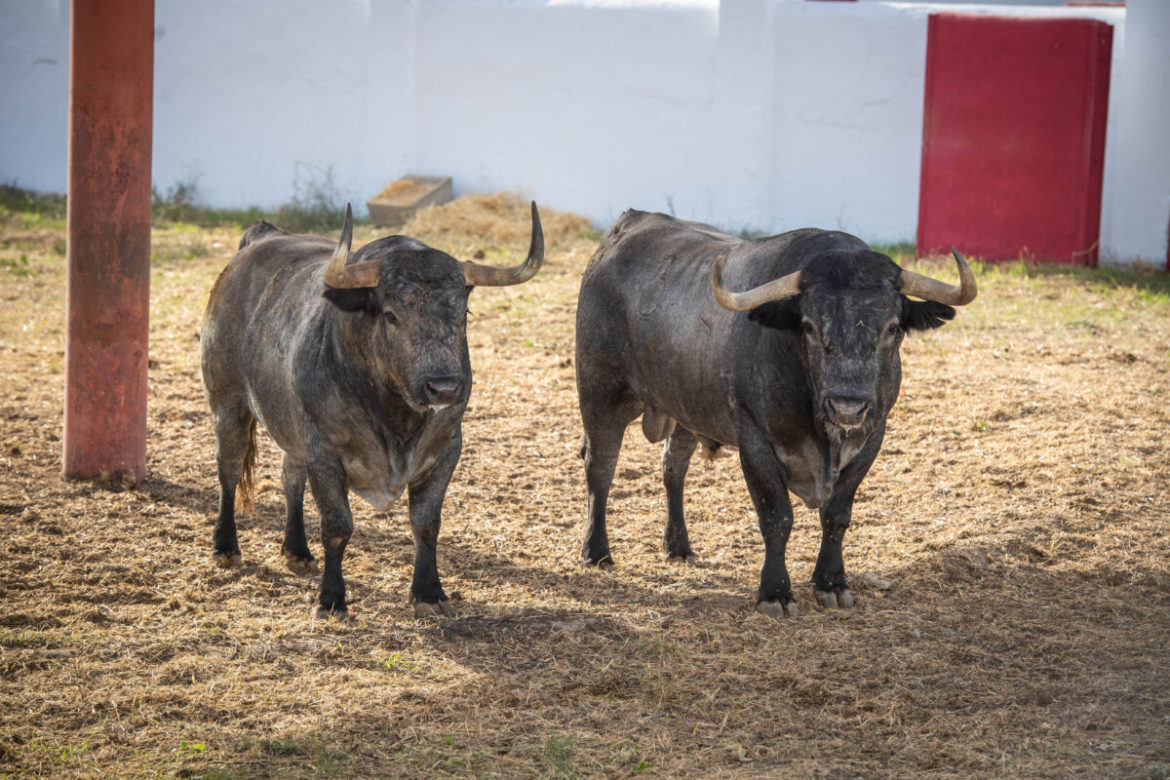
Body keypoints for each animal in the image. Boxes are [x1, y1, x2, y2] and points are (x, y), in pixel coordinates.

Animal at [201, 201, 542, 617]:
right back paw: (225, 547)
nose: (444, 387)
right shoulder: (325, 451)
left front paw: (429, 592)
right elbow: (337, 526)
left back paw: (296, 551)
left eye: (463, 314)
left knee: (290, 476)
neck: (395, 420)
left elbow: (426, 523)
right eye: (392, 315)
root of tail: (262, 239)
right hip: (227, 404)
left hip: (290, 428)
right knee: (229, 469)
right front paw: (331, 597)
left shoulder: (448, 446)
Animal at [570, 210, 973, 617]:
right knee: (601, 467)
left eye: (892, 327)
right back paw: (597, 552)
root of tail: (625, 227)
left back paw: (678, 546)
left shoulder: (873, 435)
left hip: (686, 407)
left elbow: (837, 514)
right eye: (809, 326)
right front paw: (775, 591)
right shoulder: (754, 439)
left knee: (673, 466)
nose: (847, 405)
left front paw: (832, 582)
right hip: (600, 394)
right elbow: (777, 517)